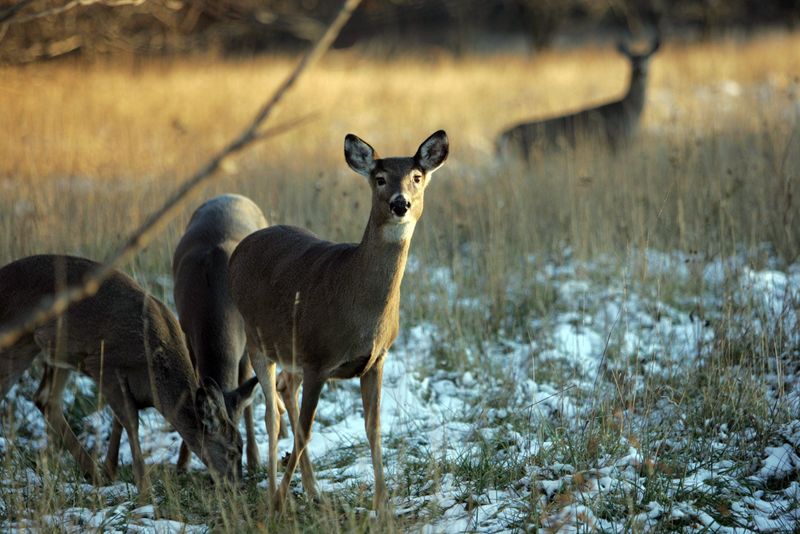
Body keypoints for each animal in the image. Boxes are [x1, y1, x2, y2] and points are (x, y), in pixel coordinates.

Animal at [0, 254, 257, 495]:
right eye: (232, 451)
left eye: (241, 447)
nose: (237, 486)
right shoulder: (105, 365)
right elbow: (131, 422)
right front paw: (145, 488)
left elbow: (120, 421)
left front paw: (110, 473)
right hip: (18, 343)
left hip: (54, 350)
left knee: (45, 399)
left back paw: (92, 473)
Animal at [173, 193, 292, 473]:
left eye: (238, 443)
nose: (229, 478)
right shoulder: (188, 334)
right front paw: (182, 461)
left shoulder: (247, 340)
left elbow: (246, 394)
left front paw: (255, 459)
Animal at [228, 130, 449, 511]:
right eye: (380, 178)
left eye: (417, 177)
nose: (400, 203)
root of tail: (240, 249)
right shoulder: (318, 358)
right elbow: (306, 430)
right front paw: (279, 502)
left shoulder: (376, 360)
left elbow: (373, 428)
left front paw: (382, 504)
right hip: (257, 337)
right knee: (272, 415)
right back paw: (274, 494)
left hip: (290, 349)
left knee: (286, 388)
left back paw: (312, 491)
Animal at [496, 36, 661, 160]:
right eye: (631, 60)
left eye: (647, 58)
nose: (639, 69)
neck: (627, 109)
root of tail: (506, 133)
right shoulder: (615, 140)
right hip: (530, 154)